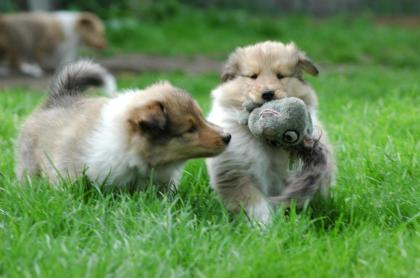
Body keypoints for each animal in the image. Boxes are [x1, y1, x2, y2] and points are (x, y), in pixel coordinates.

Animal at [16, 60, 231, 191]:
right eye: (190, 129)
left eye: (202, 118)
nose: (228, 137)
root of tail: (58, 98)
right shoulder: (71, 173)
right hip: (30, 165)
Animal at [205, 41, 336, 224]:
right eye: (253, 76)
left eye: (280, 76)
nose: (268, 93)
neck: (265, 140)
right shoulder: (237, 173)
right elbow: (255, 204)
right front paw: (265, 226)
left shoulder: (292, 177)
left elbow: (291, 199)